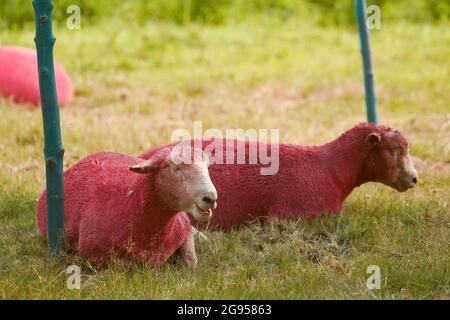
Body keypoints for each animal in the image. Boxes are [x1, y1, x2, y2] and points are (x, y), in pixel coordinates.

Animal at [36, 146, 217, 266]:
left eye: (207, 168)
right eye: (175, 168)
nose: (210, 198)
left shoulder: (183, 229)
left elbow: (190, 261)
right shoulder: (91, 255)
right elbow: (128, 265)